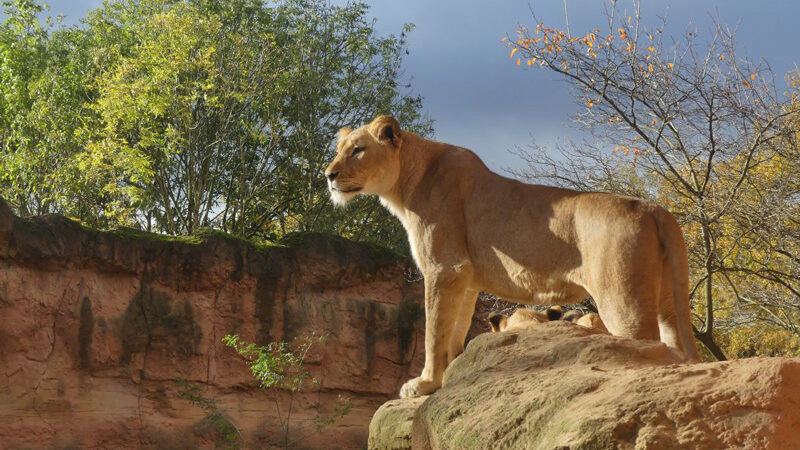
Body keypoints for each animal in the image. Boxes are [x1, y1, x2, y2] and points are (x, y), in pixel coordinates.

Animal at [324, 115, 700, 398]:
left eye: (358, 150)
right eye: (339, 149)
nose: (328, 175)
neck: (404, 183)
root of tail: (653, 208)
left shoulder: (444, 267)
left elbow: (433, 330)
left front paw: (424, 384)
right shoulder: (465, 277)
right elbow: (454, 329)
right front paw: (448, 378)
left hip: (623, 303)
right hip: (669, 301)